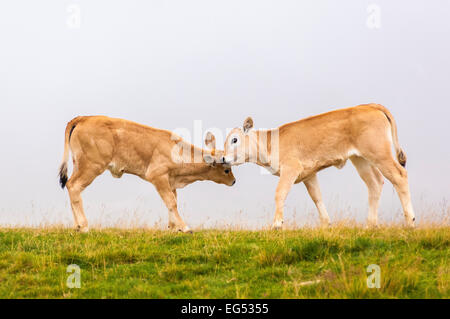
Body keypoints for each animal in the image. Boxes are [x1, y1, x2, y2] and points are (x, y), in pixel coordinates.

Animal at [59, 116, 236, 234]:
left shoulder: (170, 181)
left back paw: (77, 226)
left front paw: (173, 228)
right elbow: (171, 202)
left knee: (70, 187)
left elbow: (173, 201)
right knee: (74, 186)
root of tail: (83, 118)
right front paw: (184, 228)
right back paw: (84, 226)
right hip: (91, 166)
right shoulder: (158, 177)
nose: (234, 181)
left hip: (79, 164)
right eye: (226, 170)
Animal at [223, 104, 416, 229]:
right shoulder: (309, 174)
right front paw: (325, 224)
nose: (223, 158)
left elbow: (280, 193)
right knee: (375, 183)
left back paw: (410, 222)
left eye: (235, 139)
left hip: (379, 153)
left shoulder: (291, 168)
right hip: (361, 158)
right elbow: (317, 197)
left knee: (399, 176)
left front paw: (277, 224)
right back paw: (370, 225)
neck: (270, 145)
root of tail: (370, 106)